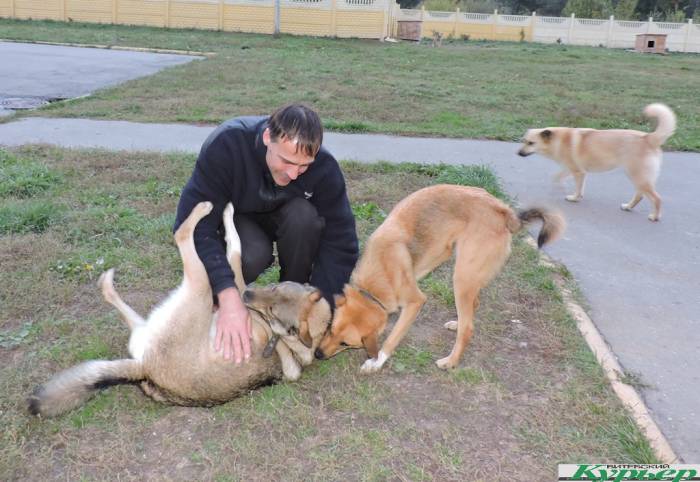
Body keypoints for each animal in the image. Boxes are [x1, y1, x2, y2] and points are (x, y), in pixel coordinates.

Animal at [316, 185, 564, 372]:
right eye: (330, 329)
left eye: (346, 343)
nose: (317, 354)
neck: (374, 283)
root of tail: (503, 211)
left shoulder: (415, 302)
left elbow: (391, 338)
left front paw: (377, 362)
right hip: (468, 274)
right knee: (473, 306)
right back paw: (457, 323)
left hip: (461, 277)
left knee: (469, 327)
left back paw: (451, 361)